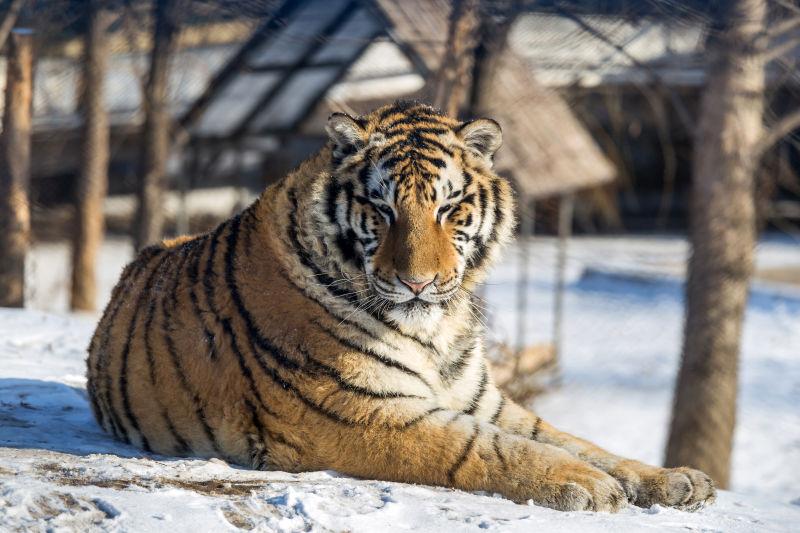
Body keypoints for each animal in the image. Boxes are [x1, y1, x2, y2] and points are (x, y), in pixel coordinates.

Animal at [84, 100, 716, 512]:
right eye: (382, 210)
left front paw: (674, 480)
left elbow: (577, 440)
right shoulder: (359, 412)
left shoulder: (487, 403)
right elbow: (484, 449)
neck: (438, 328)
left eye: (448, 209)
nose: (417, 283)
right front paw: (587, 484)